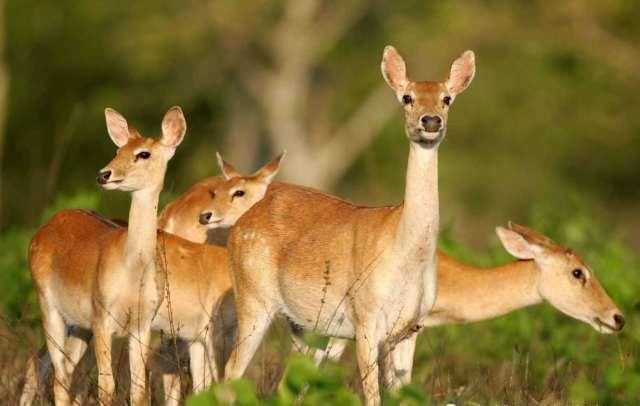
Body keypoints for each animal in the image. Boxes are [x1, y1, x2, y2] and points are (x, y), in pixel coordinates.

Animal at [22, 151, 284, 406]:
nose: (206, 216)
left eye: (240, 191)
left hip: (80, 326)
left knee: (47, 365)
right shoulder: (207, 336)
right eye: (224, 192)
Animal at [222, 46, 478, 404]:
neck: (405, 256)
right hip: (252, 298)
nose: (430, 121)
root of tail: (239, 225)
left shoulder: (411, 328)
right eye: (407, 97)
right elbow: (372, 396)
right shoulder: (365, 318)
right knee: (231, 371)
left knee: (289, 382)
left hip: (305, 325)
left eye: (447, 98)